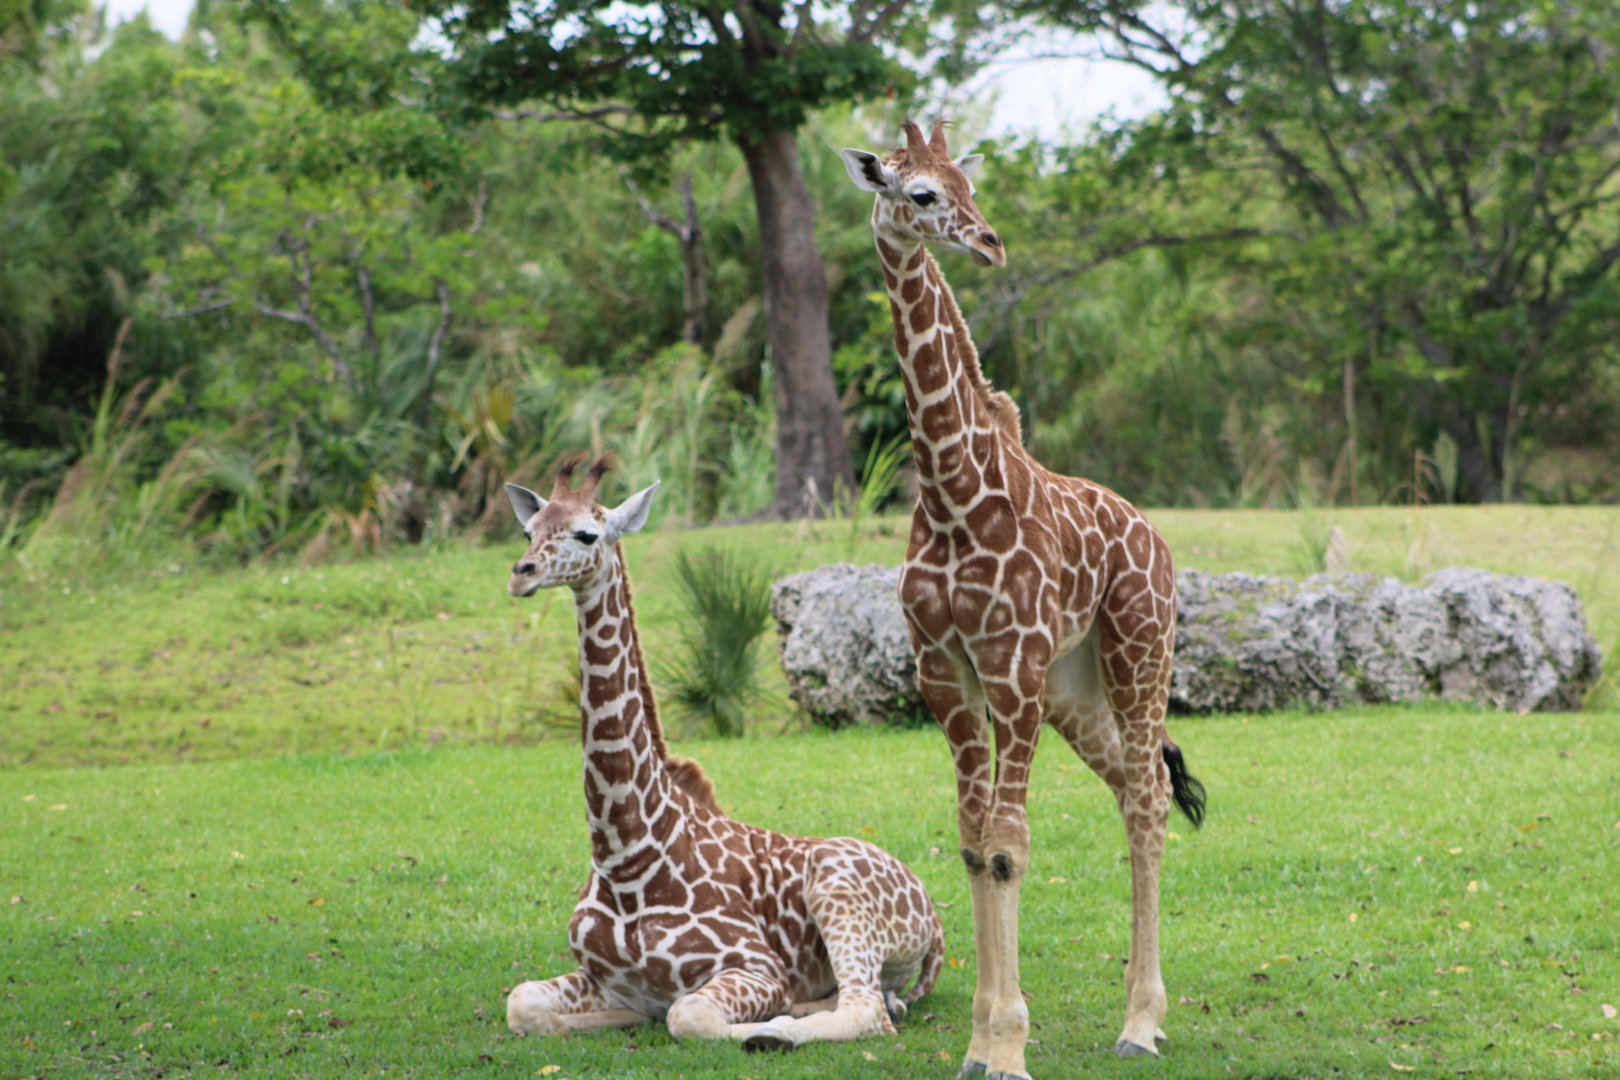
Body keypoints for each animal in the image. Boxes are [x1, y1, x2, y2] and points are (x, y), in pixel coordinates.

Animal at [501, 457, 944, 1052]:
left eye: (586, 533)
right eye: (529, 531)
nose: (521, 573)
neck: (627, 855)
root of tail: (932, 913)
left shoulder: (759, 967)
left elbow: (688, 1014)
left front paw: (763, 1025)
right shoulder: (605, 979)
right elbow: (524, 1003)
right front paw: (600, 1020)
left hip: (837, 886)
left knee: (867, 1008)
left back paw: (780, 1029)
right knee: (876, 1000)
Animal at [839, 121, 1207, 1079]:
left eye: (969, 184)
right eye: (921, 193)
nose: (988, 242)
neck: (953, 495)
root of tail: (1152, 534)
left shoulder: (1011, 670)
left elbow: (1009, 846)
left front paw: (1006, 1044)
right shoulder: (945, 675)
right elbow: (975, 845)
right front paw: (981, 1040)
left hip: (1139, 653)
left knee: (1149, 801)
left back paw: (1141, 1022)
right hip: (1076, 688)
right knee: (1136, 785)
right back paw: (1140, 1011)